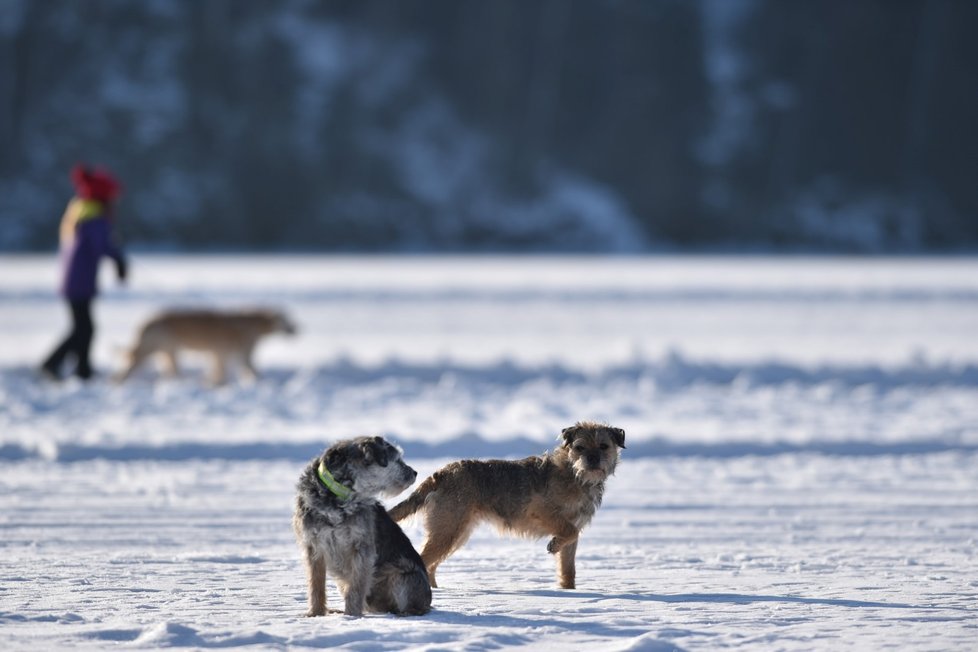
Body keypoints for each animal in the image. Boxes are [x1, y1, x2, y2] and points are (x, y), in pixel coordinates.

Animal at [292, 438, 432, 616]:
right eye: (397, 460)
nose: (414, 472)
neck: (337, 497)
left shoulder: (361, 547)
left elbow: (356, 586)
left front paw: (351, 615)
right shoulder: (313, 546)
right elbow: (316, 584)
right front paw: (315, 613)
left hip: (404, 575)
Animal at [388, 422, 624, 592]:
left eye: (603, 446)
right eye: (579, 447)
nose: (592, 458)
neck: (575, 475)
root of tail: (441, 473)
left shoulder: (574, 530)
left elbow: (568, 566)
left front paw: (568, 590)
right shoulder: (541, 511)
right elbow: (569, 531)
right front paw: (554, 544)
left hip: (456, 533)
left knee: (430, 564)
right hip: (448, 531)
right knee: (425, 559)